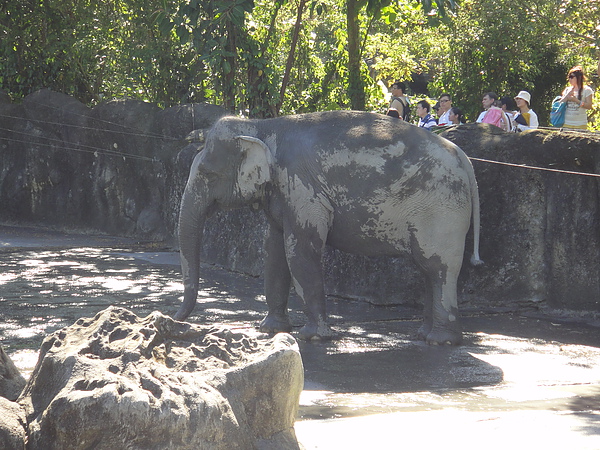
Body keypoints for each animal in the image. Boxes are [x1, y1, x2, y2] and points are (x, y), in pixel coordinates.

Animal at [175, 110, 482, 346]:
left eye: (208, 174)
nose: (176, 319)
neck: (262, 126)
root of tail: (465, 160)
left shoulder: (301, 185)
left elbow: (301, 252)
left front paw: (312, 337)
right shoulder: (283, 193)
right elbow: (274, 252)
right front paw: (271, 329)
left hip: (441, 206)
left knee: (438, 268)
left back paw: (441, 341)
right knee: (428, 269)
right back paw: (423, 335)